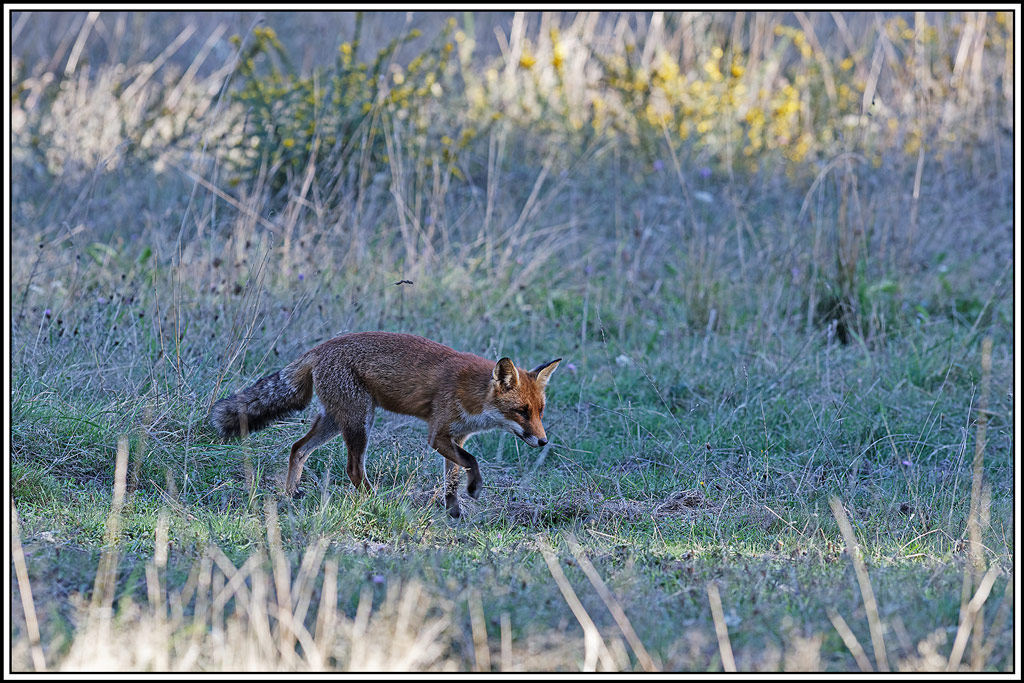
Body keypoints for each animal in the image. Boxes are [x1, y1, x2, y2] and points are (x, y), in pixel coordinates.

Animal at [210, 331, 560, 518]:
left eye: (539, 411)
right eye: (521, 411)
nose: (543, 441)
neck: (473, 395)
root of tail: (319, 349)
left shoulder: (456, 437)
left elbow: (452, 478)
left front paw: (453, 512)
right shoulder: (438, 435)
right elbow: (471, 463)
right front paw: (473, 489)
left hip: (335, 421)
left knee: (298, 448)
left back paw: (289, 494)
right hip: (359, 421)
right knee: (352, 469)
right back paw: (374, 500)